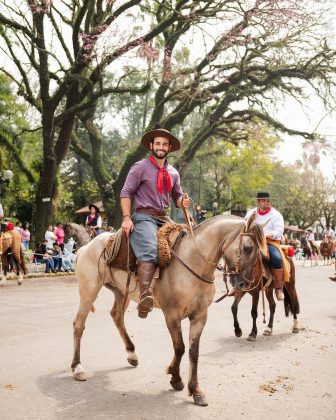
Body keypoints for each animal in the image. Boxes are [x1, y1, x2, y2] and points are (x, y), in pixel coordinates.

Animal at [72, 215, 266, 406]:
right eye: (248, 248)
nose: (244, 283)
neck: (193, 261)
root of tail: (86, 247)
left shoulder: (200, 316)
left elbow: (193, 351)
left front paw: (196, 390)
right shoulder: (172, 316)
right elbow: (180, 347)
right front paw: (175, 378)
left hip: (121, 292)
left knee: (117, 317)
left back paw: (132, 354)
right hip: (89, 290)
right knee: (78, 325)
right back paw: (77, 367)